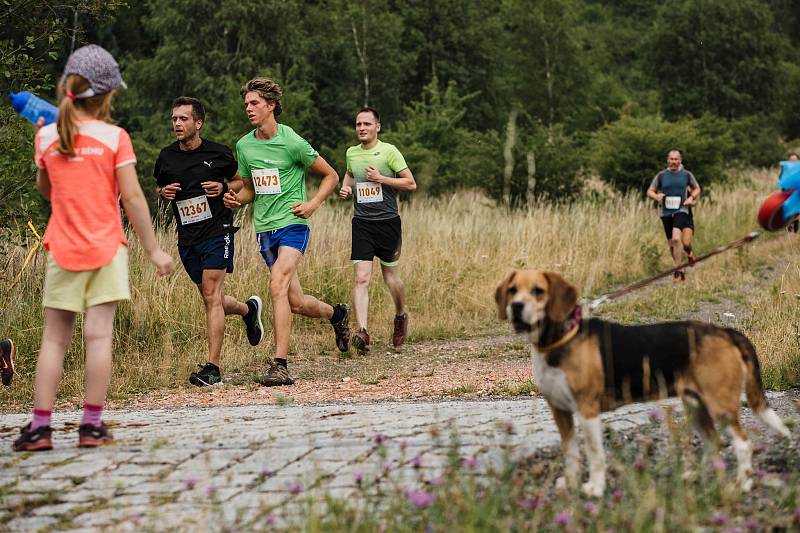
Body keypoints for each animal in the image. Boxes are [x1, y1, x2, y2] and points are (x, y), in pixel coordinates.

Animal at [496, 268, 792, 496]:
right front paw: (569, 483)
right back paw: (697, 476)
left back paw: (741, 485)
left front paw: (595, 488)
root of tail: (724, 331)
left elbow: (595, 454)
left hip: (721, 406)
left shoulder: (587, 410)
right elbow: (570, 453)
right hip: (696, 407)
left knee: (743, 444)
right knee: (713, 443)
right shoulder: (560, 412)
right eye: (512, 290)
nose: (516, 307)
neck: (560, 339)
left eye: (538, 291)